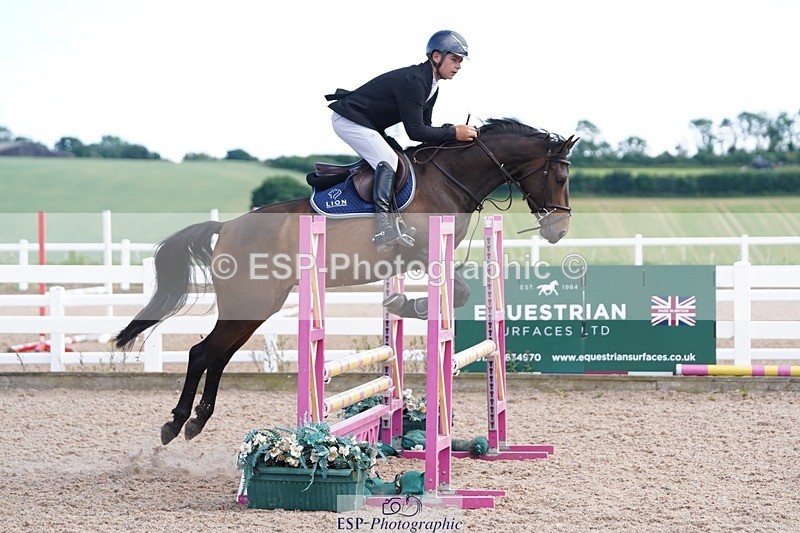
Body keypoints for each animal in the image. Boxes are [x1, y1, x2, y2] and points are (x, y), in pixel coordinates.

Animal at [115, 118, 578, 445]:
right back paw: (176, 425)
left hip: (255, 308)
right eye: (560, 178)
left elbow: (456, 292)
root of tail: (226, 227)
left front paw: (401, 306)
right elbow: (459, 292)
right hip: (250, 303)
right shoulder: (424, 254)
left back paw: (196, 421)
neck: (449, 179)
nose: (558, 231)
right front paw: (410, 306)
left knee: (218, 356)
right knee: (201, 353)